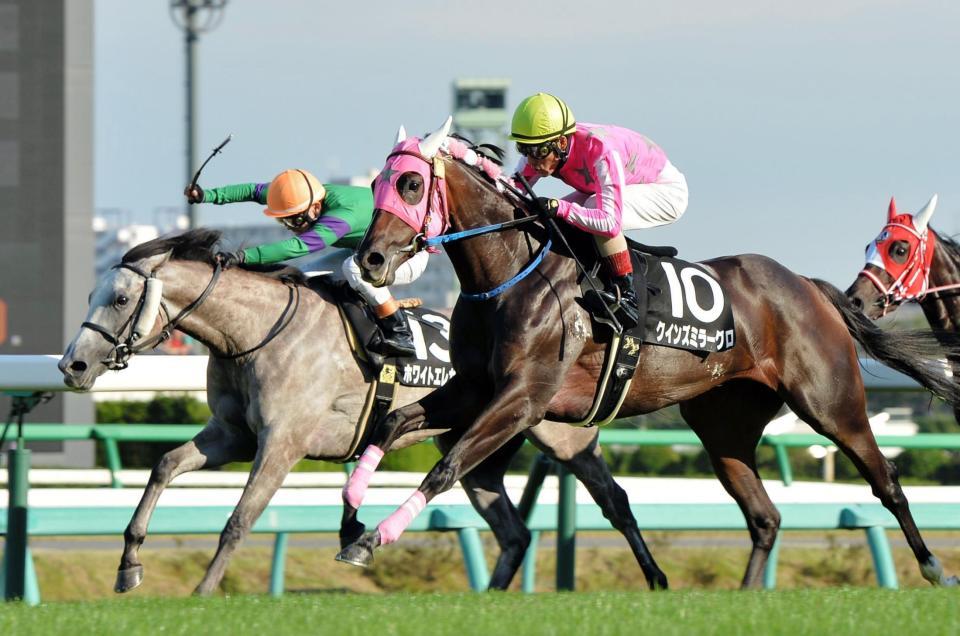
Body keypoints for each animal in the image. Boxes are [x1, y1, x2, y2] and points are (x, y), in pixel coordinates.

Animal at [58, 228, 669, 594]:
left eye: (118, 299)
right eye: (92, 296)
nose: (73, 365)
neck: (253, 333)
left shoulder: (281, 443)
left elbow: (239, 519)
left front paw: (205, 591)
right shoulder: (231, 436)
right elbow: (163, 466)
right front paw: (129, 565)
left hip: (559, 435)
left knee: (613, 501)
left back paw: (654, 577)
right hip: (479, 448)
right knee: (514, 532)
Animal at [337, 118, 960, 588]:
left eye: (410, 184)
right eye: (377, 184)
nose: (369, 260)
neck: (512, 270)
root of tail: (807, 285)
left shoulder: (522, 397)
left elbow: (447, 465)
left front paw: (377, 537)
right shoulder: (474, 388)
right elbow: (390, 424)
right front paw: (349, 525)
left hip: (833, 404)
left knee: (885, 480)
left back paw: (933, 568)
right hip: (722, 426)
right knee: (764, 516)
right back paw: (745, 597)